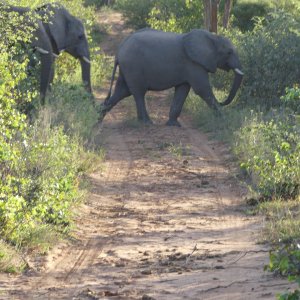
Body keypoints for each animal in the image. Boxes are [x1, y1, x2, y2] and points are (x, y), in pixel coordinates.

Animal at [101, 27, 244, 126]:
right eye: (229, 52)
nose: (223, 101)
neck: (213, 37)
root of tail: (119, 50)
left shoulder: (189, 67)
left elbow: (182, 90)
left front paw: (174, 125)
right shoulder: (193, 64)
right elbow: (202, 89)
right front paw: (225, 119)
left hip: (126, 69)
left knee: (122, 91)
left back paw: (98, 119)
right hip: (133, 66)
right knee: (138, 93)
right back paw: (147, 123)